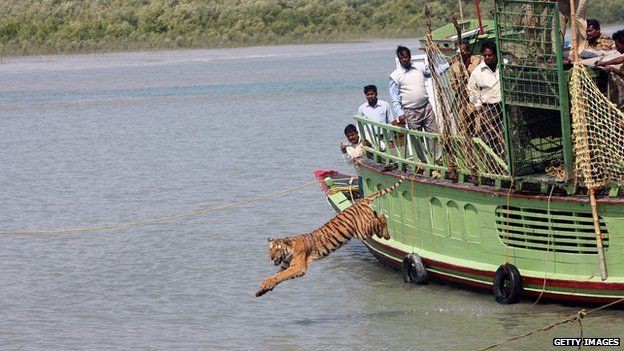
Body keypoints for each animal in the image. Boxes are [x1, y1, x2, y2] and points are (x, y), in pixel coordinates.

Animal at [255, 179, 404, 296]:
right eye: (270, 249)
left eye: (277, 249)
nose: (271, 258)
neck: (288, 252)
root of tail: (360, 202)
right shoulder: (285, 266)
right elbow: (277, 276)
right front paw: (262, 291)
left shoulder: (298, 267)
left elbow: (279, 276)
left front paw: (263, 283)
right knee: (378, 218)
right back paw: (384, 234)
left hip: (362, 230)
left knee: (382, 216)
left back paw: (386, 233)